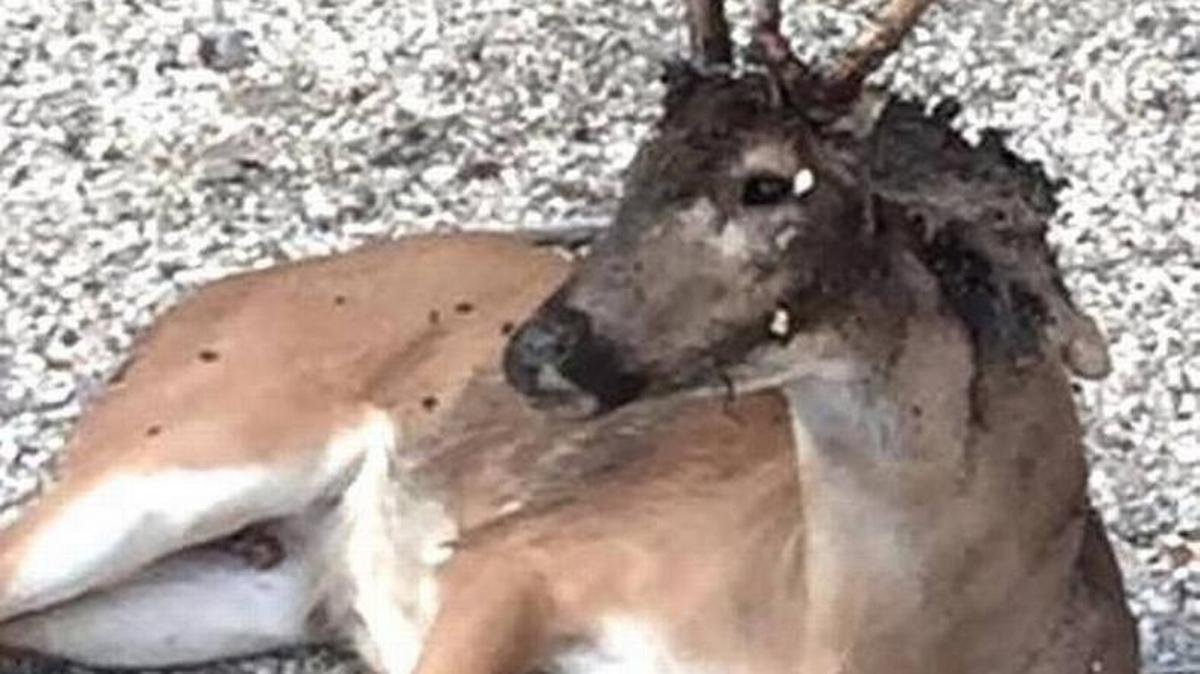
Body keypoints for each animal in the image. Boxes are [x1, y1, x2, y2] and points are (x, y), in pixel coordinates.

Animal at [0, 0, 1139, 673]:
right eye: (638, 162)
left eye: (767, 183)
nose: (535, 349)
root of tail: (184, 314)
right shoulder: (536, 553)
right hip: (195, 441)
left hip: (245, 588)